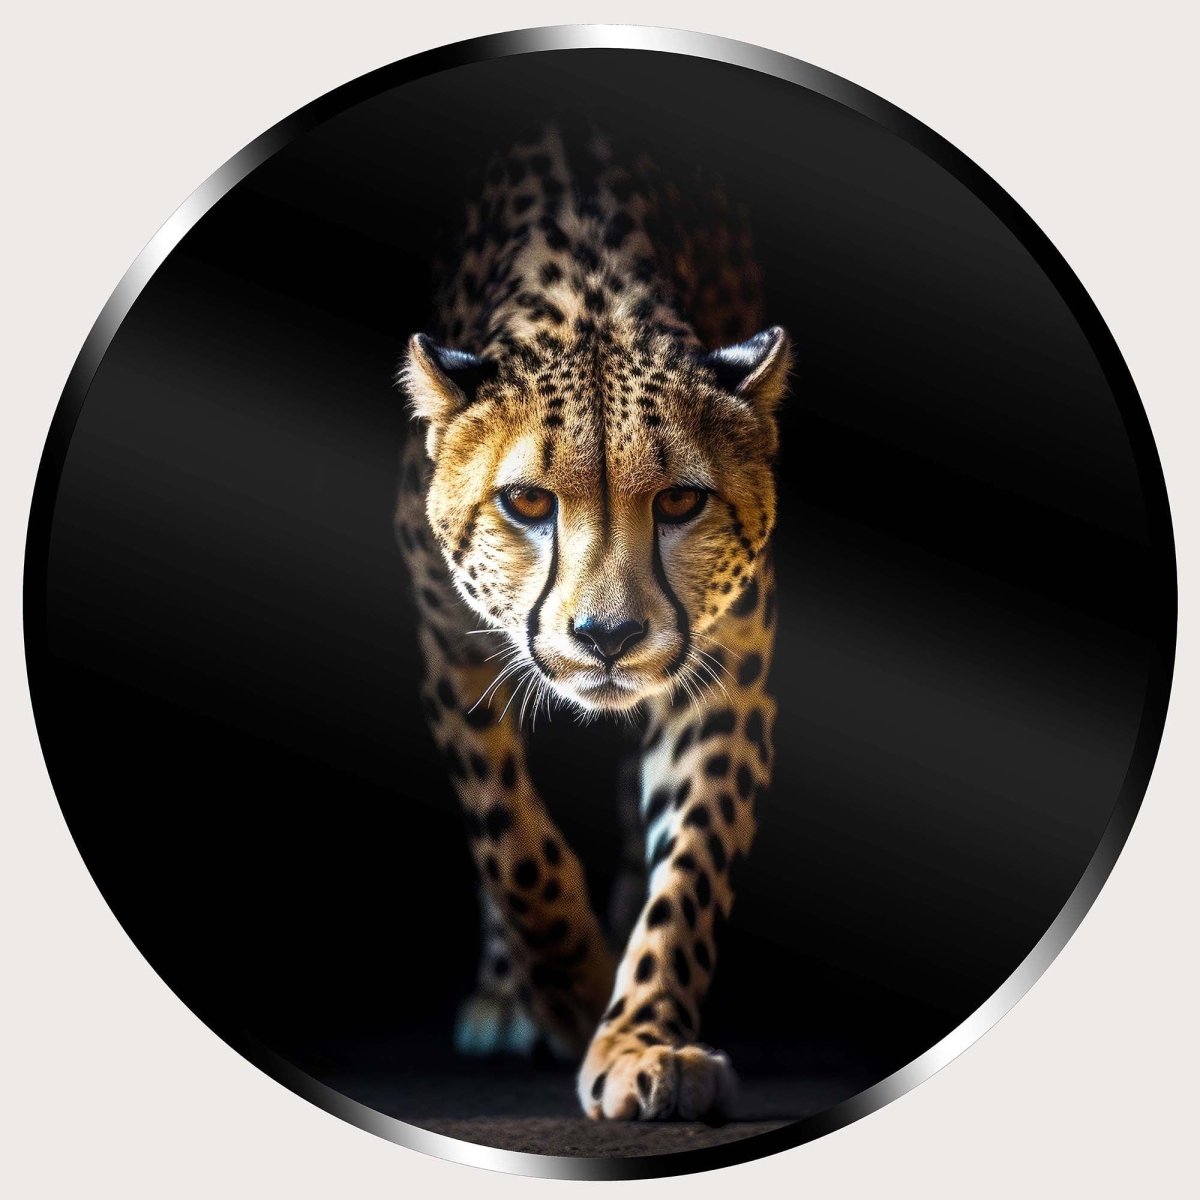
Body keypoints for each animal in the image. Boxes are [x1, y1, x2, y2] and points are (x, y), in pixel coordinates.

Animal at [394, 124, 789, 1122]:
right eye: (528, 501)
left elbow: (690, 865)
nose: (607, 639)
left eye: (682, 500)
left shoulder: (729, 665)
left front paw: (643, 1037)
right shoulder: (448, 648)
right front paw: (569, 991)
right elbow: (511, 839)